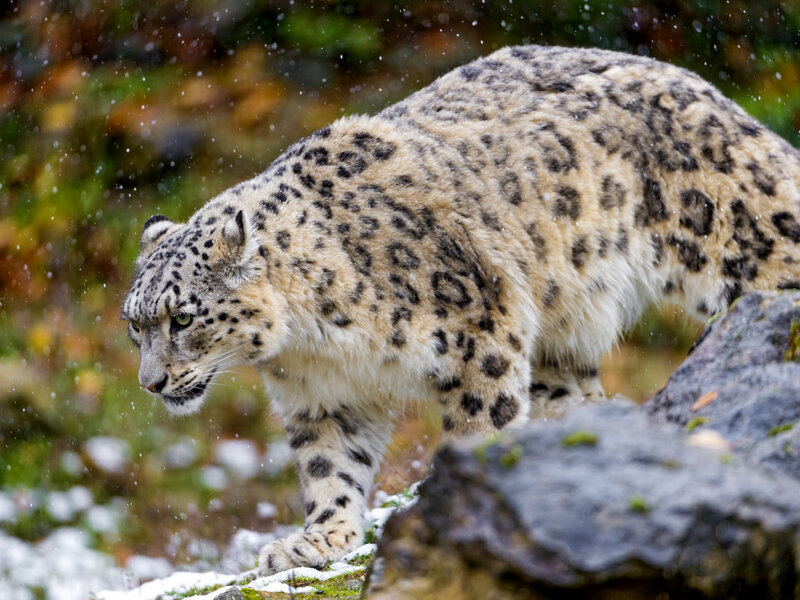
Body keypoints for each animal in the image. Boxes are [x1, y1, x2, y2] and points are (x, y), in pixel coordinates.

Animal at [121, 45, 800, 574]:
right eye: (135, 325)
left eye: (183, 318)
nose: (151, 383)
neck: (316, 340)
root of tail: (710, 91)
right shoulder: (323, 397)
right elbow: (330, 469)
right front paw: (317, 541)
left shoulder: (483, 332)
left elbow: (481, 424)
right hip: (560, 341)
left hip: (739, 240)